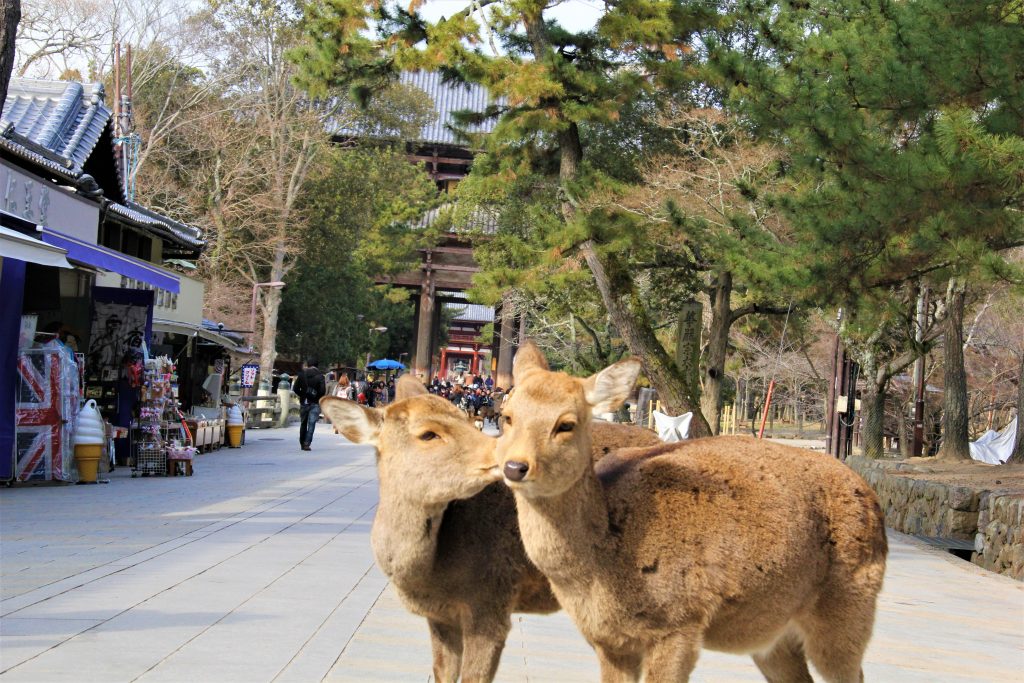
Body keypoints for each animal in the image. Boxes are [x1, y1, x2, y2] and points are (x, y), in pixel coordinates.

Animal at [495, 342, 888, 683]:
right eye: (507, 416)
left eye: (566, 424)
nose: (515, 466)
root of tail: (873, 499)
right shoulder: (607, 639)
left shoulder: (679, 622)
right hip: (773, 633)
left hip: (849, 611)